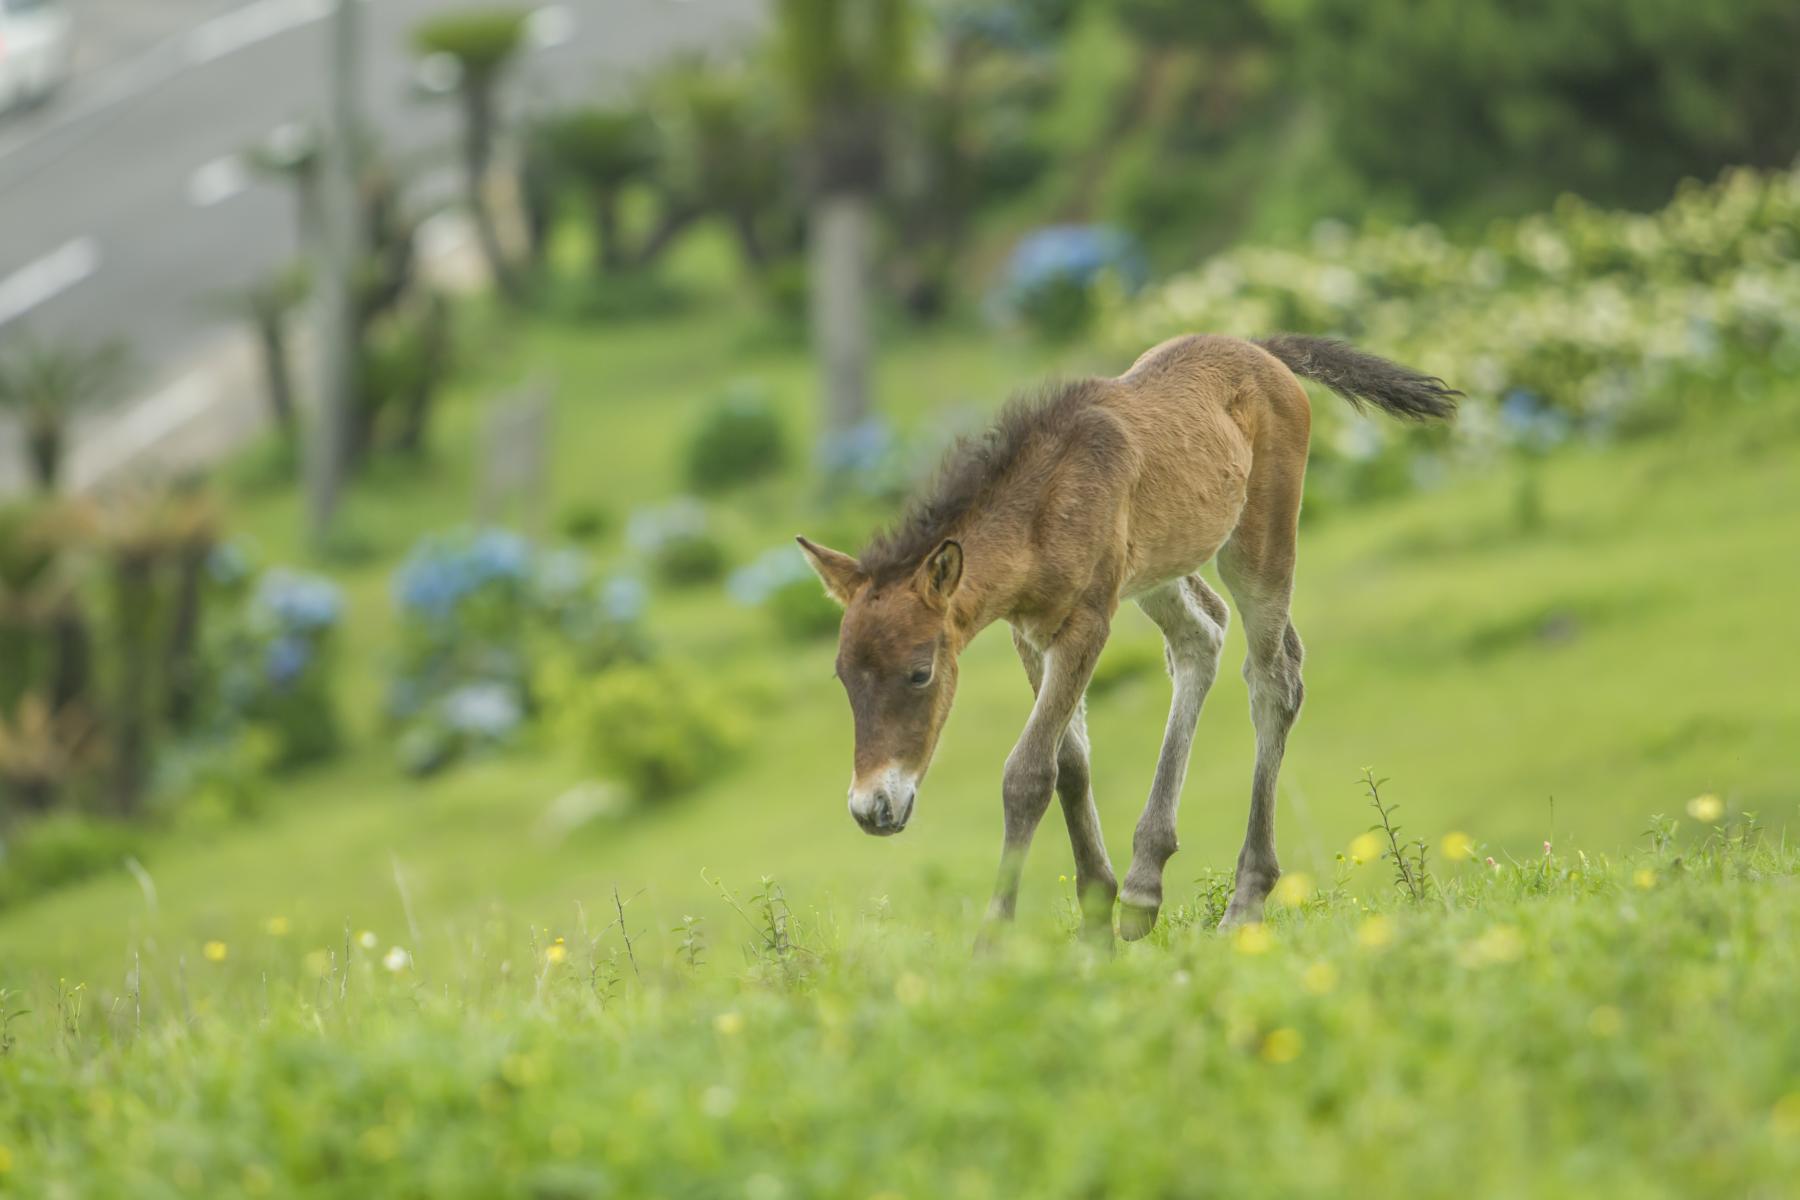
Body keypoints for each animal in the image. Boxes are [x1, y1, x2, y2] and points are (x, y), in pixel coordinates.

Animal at [810, 332, 1454, 942]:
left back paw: (1243, 903)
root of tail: (1260, 350)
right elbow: (1069, 760)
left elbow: (1029, 773)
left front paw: (993, 941)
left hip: (1259, 543)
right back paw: (1145, 885)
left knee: (1274, 679)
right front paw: (1098, 915)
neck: (1042, 506)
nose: (872, 808)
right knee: (1202, 636)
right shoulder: (1030, 632)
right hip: (1160, 569)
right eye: (842, 678)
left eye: (920, 672)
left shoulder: (1088, 620)